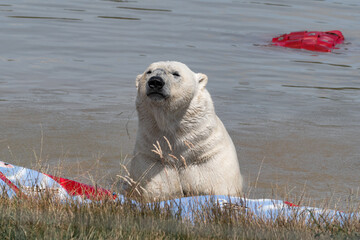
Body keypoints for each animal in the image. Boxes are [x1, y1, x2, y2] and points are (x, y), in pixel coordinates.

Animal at [128, 61, 243, 201]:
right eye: (148, 72)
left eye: (176, 73)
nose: (155, 82)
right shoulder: (151, 160)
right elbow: (156, 189)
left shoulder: (209, 160)